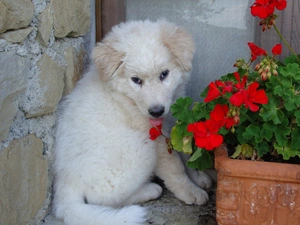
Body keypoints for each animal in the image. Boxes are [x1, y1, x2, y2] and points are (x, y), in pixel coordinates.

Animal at [52, 19, 211, 225]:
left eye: (164, 74)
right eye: (136, 80)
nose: (156, 111)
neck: (125, 97)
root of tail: (64, 182)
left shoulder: (169, 123)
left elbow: (184, 154)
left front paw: (198, 177)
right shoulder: (156, 139)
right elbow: (174, 166)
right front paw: (191, 191)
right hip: (140, 148)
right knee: (103, 198)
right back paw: (150, 190)